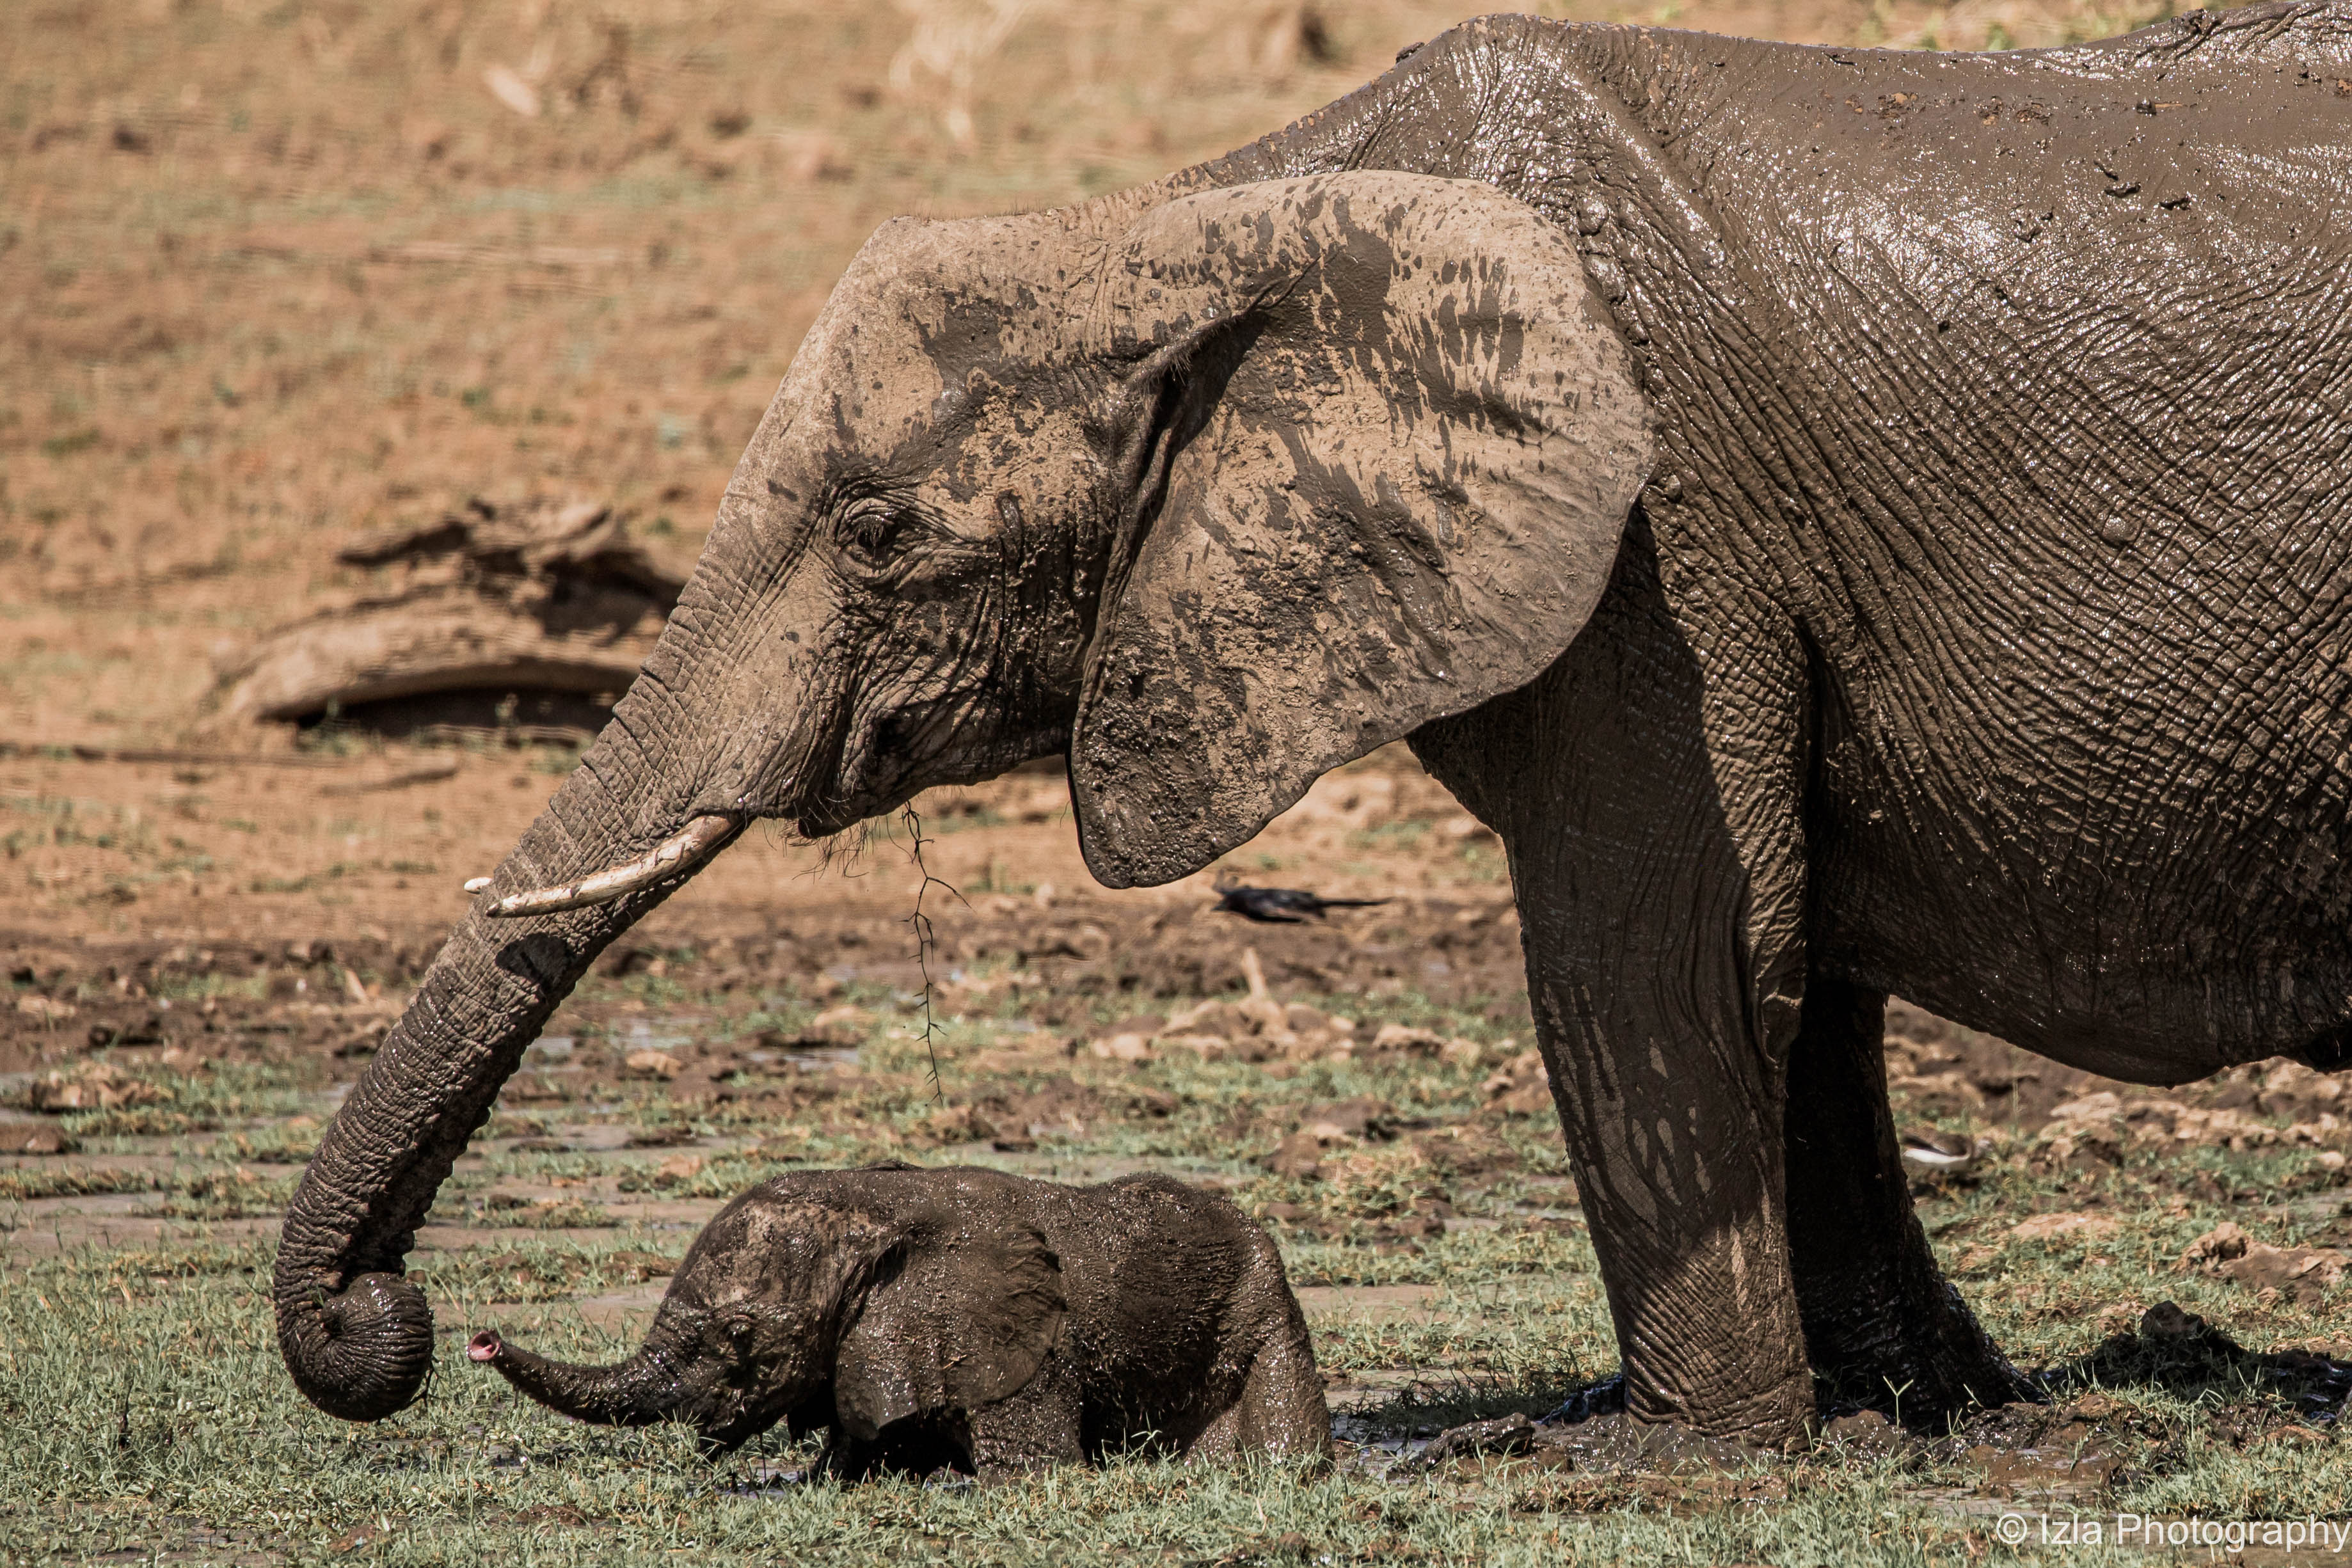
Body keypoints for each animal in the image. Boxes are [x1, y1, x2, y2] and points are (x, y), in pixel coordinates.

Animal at [467, 1166, 1330, 1473]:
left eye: (739, 1338)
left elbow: (1036, 1472)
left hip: (1265, 1307)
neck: (876, 1213)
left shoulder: (1023, 1350)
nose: (481, 1338)